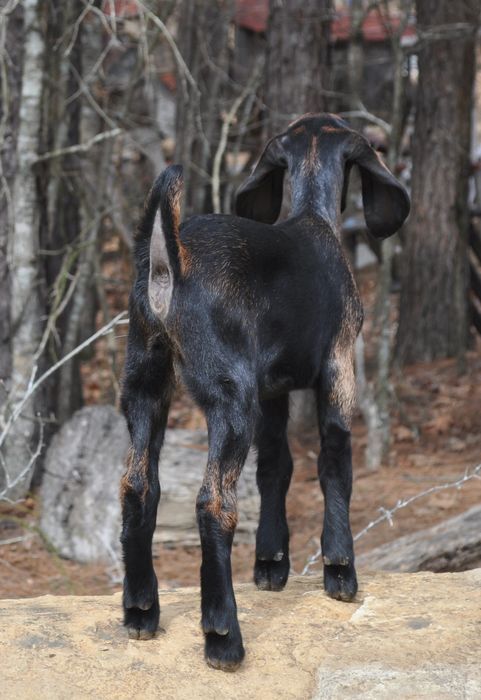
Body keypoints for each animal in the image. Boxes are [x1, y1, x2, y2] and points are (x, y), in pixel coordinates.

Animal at [119, 113, 410, 670]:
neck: (313, 218)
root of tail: (170, 262)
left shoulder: (274, 389)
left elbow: (276, 466)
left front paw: (271, 561)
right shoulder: (338, 368)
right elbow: (334, 464)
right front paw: (340, 570)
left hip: (146, 384)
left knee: (137, 484)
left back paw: (141, 611)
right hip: (230, 399)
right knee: (214, 503)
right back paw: (223, 636)